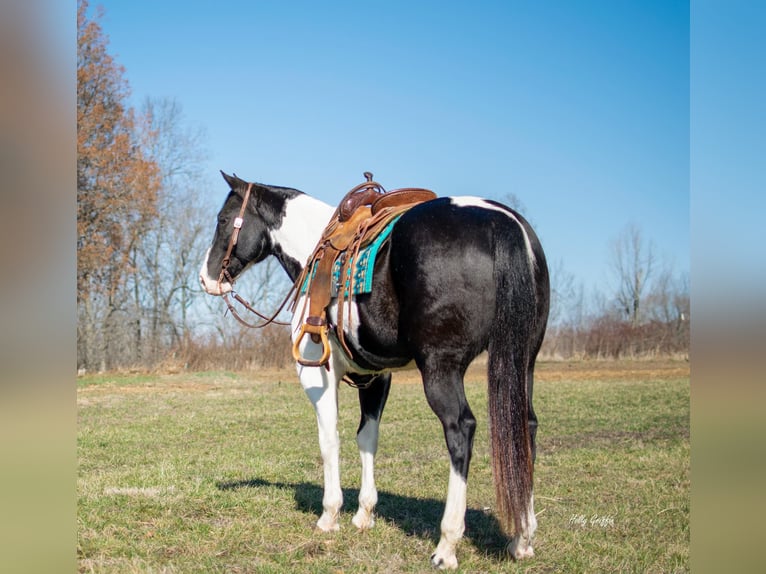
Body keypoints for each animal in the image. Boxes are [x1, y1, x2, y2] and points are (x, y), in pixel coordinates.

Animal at [201, 172, 552, 572]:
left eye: (223, 220)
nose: (206, 278)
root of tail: (501, 221)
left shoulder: (318, 374)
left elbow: (329, 440)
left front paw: (330, 515)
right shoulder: (376, 377)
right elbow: (366, 438)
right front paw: (364, 514)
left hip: (441, 368)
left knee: (460, 429)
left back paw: (447, 544)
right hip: (523, 361)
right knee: (526, 427)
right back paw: (521, 538)